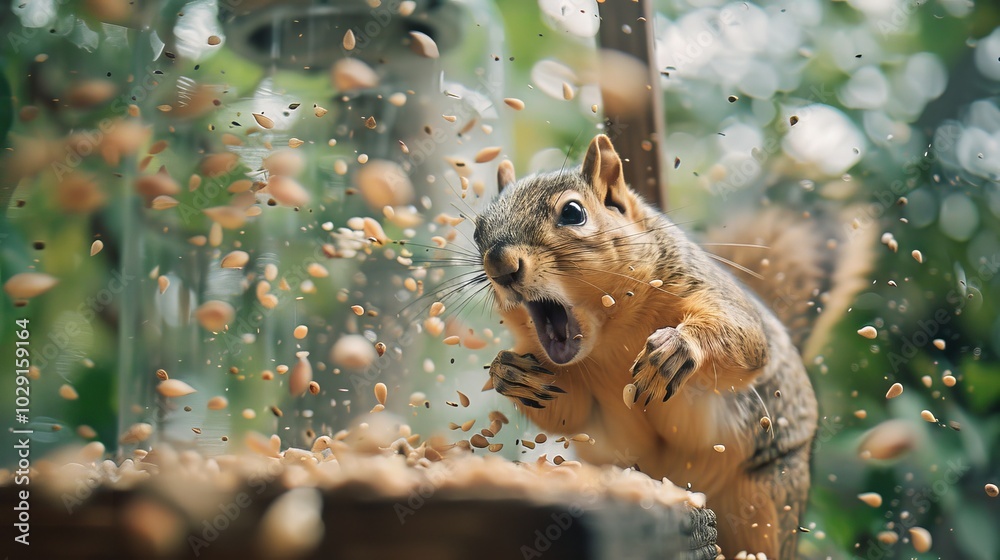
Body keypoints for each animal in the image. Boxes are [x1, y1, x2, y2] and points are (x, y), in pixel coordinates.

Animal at [473, 134, 874, 559]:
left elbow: (747, 338)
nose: (500, 266)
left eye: (572, 213)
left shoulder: (695, 281)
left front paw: (677, 347)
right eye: (477, 231)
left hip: (767, 493)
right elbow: (572, 415)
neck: (609, 338)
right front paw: (508, 372)